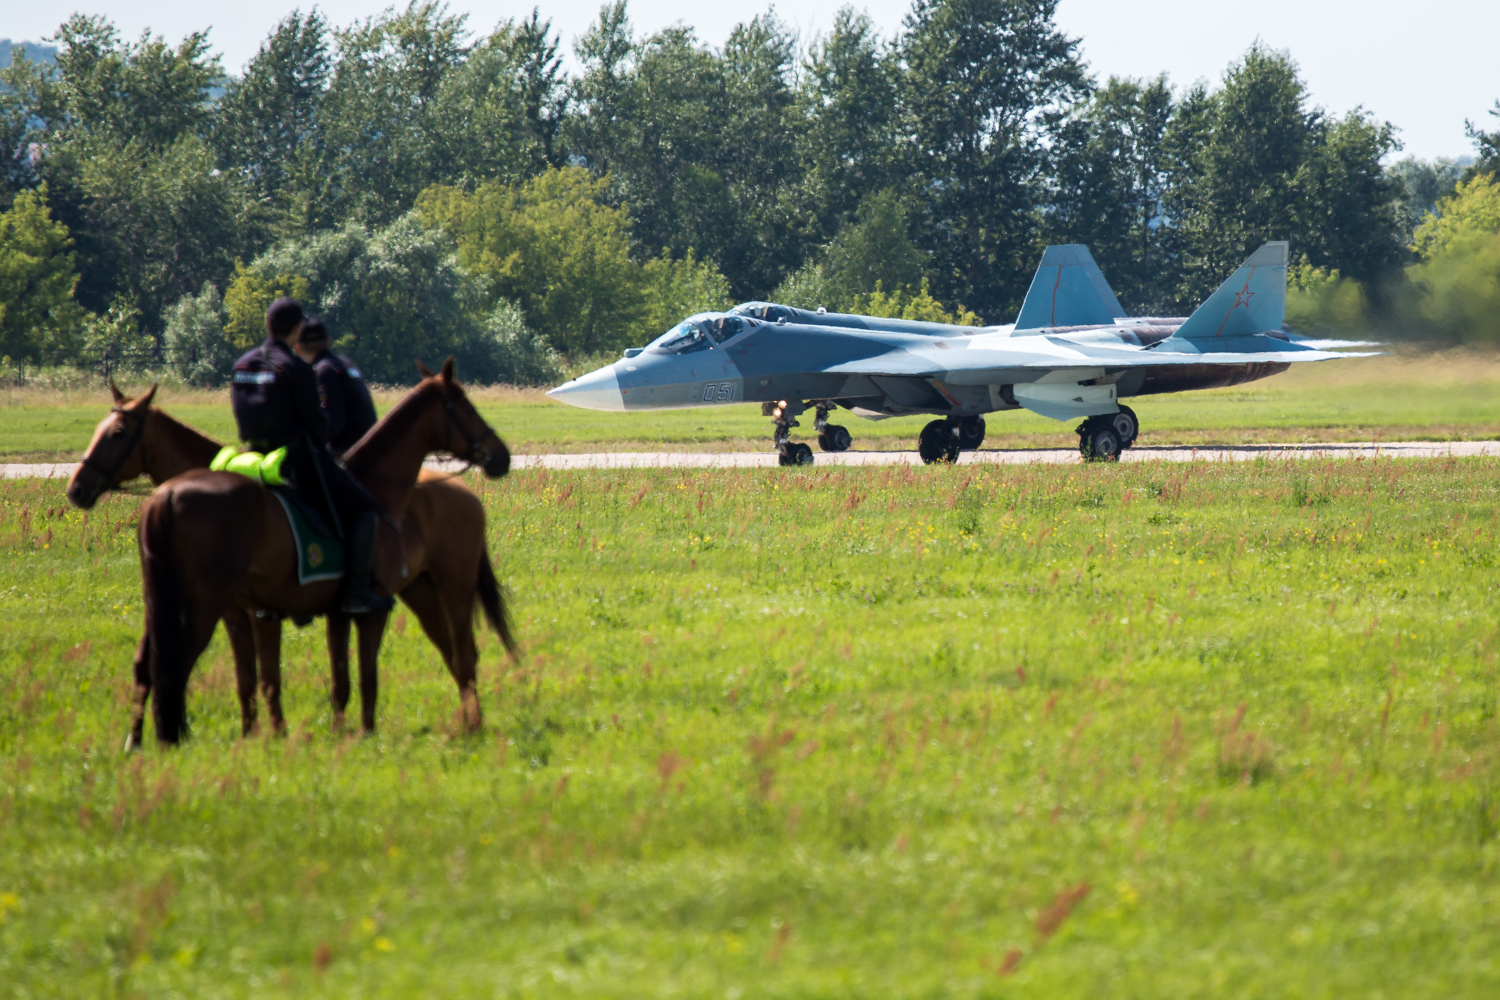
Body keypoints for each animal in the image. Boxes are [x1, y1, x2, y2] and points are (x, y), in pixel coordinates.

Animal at [66, 379, 516, 746]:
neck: (376, 491)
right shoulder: (274, 613)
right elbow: (282, 678)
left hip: (447, 588)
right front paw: (277, 732)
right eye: (466, 408)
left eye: (116, 434)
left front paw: (285, 732)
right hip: (424, 592)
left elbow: (289, 678)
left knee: (462, 655)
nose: (77, 488)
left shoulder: (274, 613)